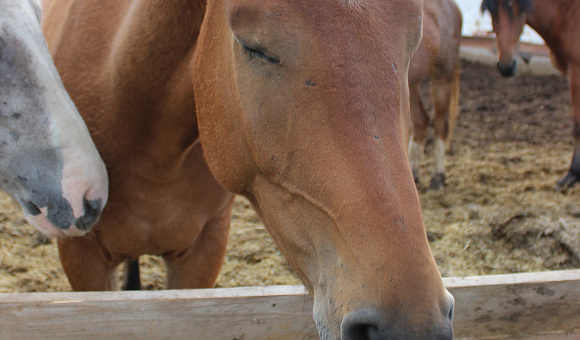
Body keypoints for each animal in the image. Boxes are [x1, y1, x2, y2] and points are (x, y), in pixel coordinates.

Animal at [482, 0, 580, 190]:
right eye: (491, 10)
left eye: (512, 5)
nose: (506, 67)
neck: (569, 14)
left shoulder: (576, 73)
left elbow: (577, 127)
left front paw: (572, 173)